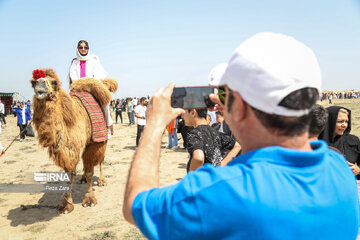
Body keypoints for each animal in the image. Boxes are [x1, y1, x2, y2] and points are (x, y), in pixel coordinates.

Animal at [30, 68, 117, 213]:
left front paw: (89, 199)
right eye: (33, 82)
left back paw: (102, 180)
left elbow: (90, 171)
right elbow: (69, 175)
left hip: (103, 138)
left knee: (100, 160)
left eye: (54, 82)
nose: (40, 84)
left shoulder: (93, 144)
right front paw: (66, 205)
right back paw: (82, 179)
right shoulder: (70, 149)